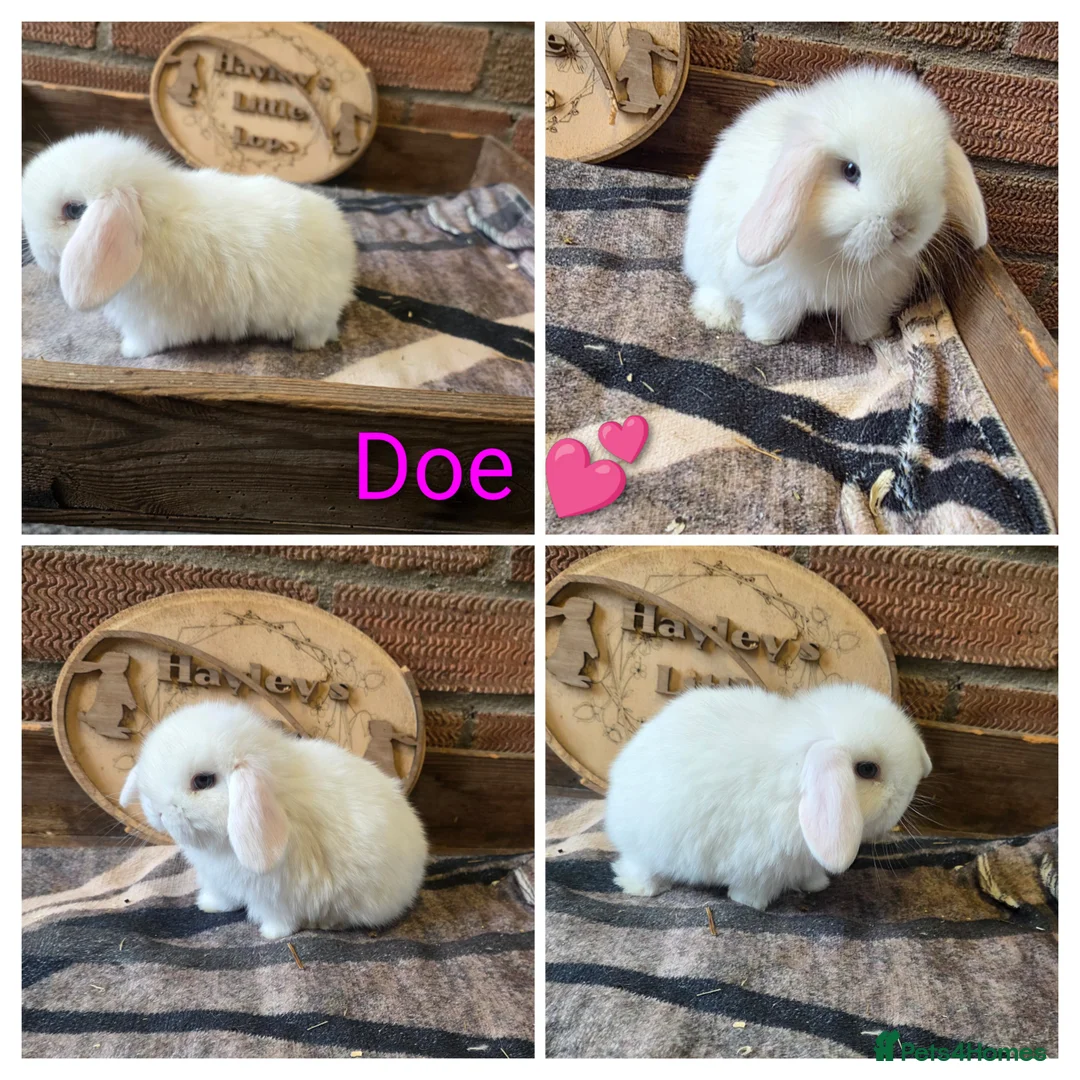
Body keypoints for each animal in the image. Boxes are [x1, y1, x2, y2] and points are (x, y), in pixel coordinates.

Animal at [21, 131, 357, 359]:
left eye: (73, 210)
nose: (35, 248)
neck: (151, 224)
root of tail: (345, 244)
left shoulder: (149, 322)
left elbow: (145, 342)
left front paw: (129, 351)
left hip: (313, 313)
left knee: (319, 331)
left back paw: (304, 346)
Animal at [119, 701, 427, 939]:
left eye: (203, 781)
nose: (156, 811)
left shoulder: (279, 894)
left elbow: (280, 917)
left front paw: (271, 934)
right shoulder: (218, 880)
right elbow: (221, 897)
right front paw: (209, 906)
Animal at [605, 682, 932, 911]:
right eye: (867, 769)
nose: (908, 794)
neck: (795, 781)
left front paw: (817, 885)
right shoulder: (756, 864)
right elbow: (751, 889)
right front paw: (752, 903)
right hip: (646, 846)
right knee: (632, 867)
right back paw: (645, 888)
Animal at [682, 66, 988, 345]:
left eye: (939, 171)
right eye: (850, 171)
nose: (903, 226)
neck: (839, 255)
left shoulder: (874, 297)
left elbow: (865, 321)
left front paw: (872, 337)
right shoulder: (772, 294)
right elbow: (772, 319)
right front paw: (763, 338)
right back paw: (718, 317)